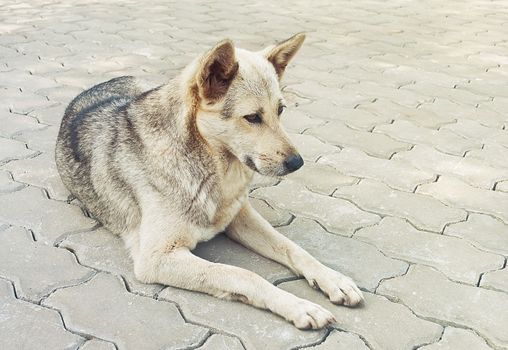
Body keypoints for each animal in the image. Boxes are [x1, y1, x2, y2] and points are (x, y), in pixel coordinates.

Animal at [55, 33, 364, 328]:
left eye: (281, 110)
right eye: (252, 117)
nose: (297, 163)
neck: (212, 170)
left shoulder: (240, 217)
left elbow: (291, 247)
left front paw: (331, 278)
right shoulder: (157, 258)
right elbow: (243, 274)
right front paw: (298, 306)